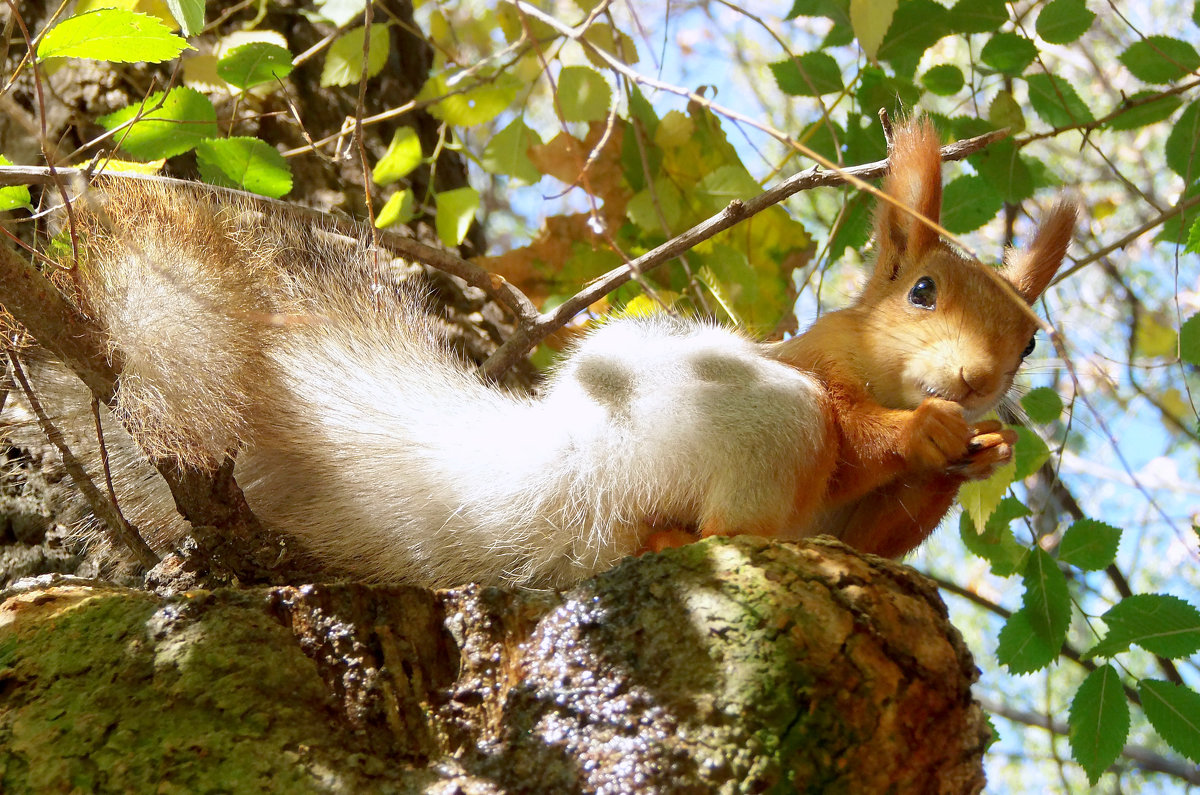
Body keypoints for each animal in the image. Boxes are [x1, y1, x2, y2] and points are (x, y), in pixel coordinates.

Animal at [4, 120, 1080, 590]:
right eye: (923, 291)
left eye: (1031, 338)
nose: (977, 384)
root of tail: (557, 474)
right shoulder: (820, 371)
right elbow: (858, 429)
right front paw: (924, 428)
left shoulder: (865, 525)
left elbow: (882, 536)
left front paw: (980, 452)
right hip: (750, 419)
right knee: (689, 525)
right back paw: (684, 541)